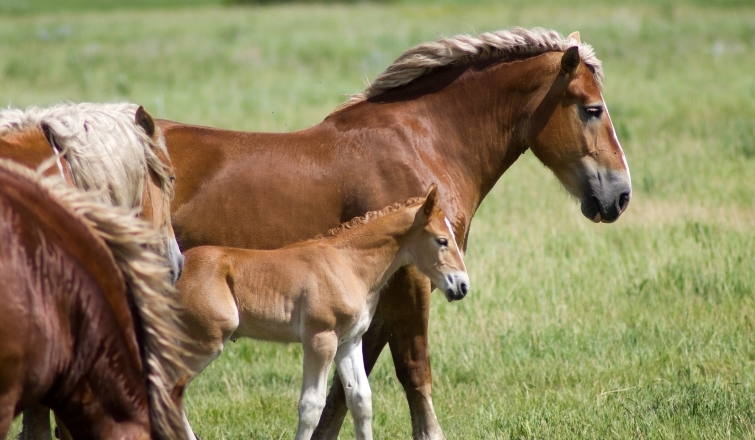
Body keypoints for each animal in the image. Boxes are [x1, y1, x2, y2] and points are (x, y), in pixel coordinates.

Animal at [177, 186, 470, 440]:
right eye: (442, 240)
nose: (462, 286)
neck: (348, 264)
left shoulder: (349, 341)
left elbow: (360, 400)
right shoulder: (321, 339)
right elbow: (311, 405)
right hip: (204, 342)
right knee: (172, 389)